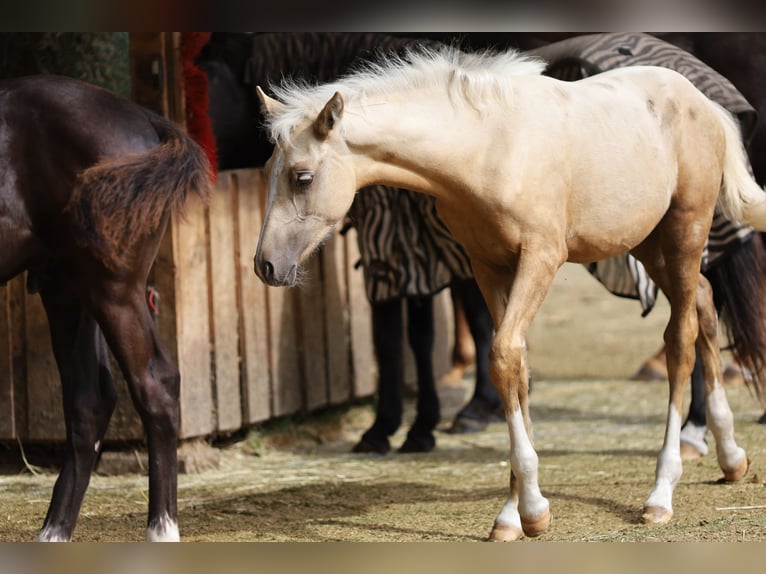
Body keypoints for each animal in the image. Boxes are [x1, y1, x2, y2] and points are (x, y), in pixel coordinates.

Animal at [0, 75, 212, 541]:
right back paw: (53, 532)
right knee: (90, 400)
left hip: (113, 289)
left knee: (155, 384)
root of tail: (143, 118)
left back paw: (162, 530)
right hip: (67, 286)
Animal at [253, 45, 766, 540]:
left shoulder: (541, 257)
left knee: (681, 337)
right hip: (646, 241)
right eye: (267, 171)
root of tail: (701, 100)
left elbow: (501, 356)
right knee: (704, 303)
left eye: (302, 176)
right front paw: (514, 516)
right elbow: (515, 367)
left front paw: (533, 511)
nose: (266, 265)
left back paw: (661, 491)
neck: (486, 150)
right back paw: (731, 456)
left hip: (685, 231)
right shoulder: (489, 266)